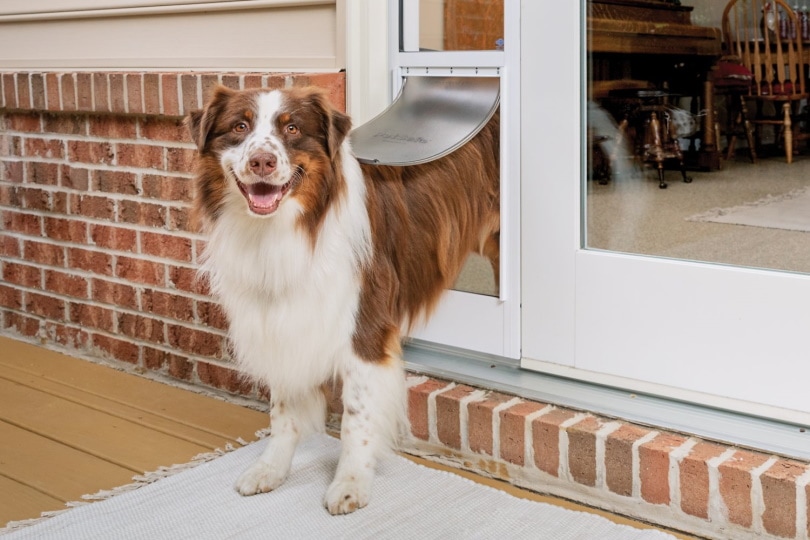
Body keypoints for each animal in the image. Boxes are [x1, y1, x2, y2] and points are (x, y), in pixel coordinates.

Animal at [188, 85, 498, 516]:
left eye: (292, 128)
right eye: (239, 127)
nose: (262, 161)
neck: (286, 229)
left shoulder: (364, 326)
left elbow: (356, 416)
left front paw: (350, 482)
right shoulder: (281, 321)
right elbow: (282, 408)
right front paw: (271, 468)